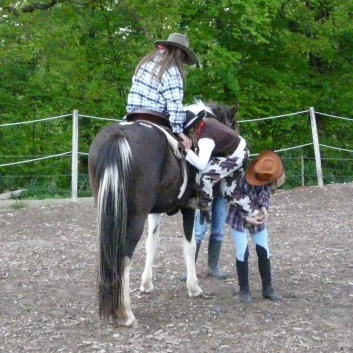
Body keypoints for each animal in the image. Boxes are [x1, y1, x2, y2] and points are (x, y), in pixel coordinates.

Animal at [88, 99, 238, 324]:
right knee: (124, 258)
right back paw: (126, 314)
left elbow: (152, 243)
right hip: (135, 217)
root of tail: (118, 137)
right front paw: (194, 287)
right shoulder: (188, 209)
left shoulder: (154, 211)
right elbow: (189, 245)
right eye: (233, 124)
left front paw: (146, 284)